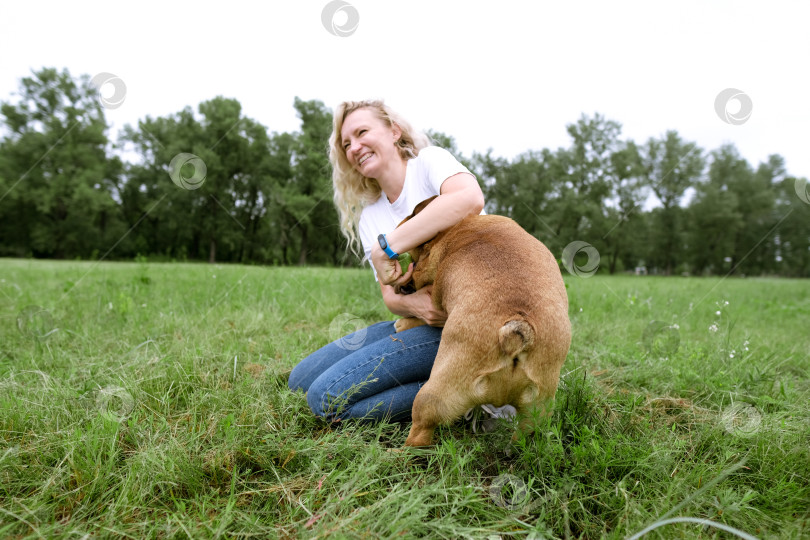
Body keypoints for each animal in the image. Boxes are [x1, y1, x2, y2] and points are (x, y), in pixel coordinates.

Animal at [392, 198, 568, 448]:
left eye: (414, 265)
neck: (455, 233)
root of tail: (516, 334)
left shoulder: (436, 304)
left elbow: (420, 315)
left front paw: (403, 323)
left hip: (433, 395)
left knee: (420, 435)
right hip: (537, 410)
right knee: (526, 433)